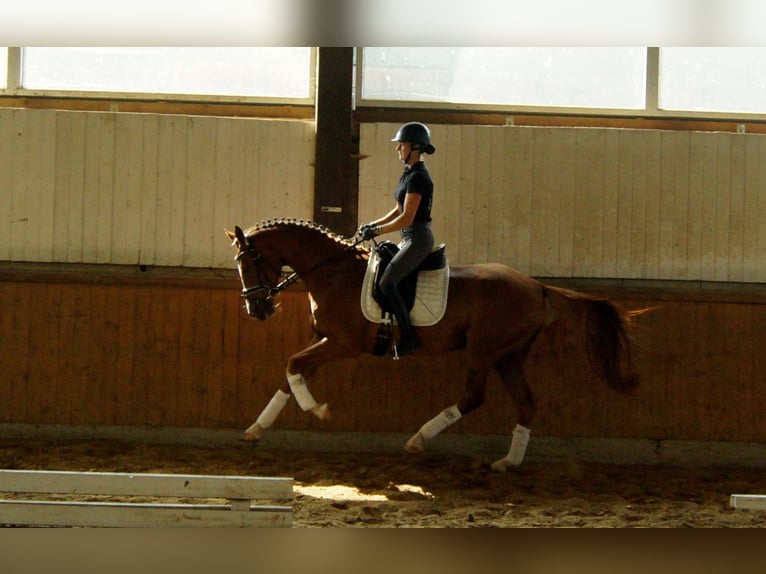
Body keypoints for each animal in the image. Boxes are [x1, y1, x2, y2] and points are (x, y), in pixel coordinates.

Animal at [225, 220, 644, 472]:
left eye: (247, 262)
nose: (256, 309)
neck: (332, 272)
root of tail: (537, 287)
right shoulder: (322, 339)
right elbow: (290, 374)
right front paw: (255, 429)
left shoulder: (343, 343)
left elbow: (293, 366)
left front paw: (319, 410)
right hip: (508, 356)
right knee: (526, 403)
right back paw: (507, 462)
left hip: (483, 351)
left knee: (473, 396)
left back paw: (417, 440)